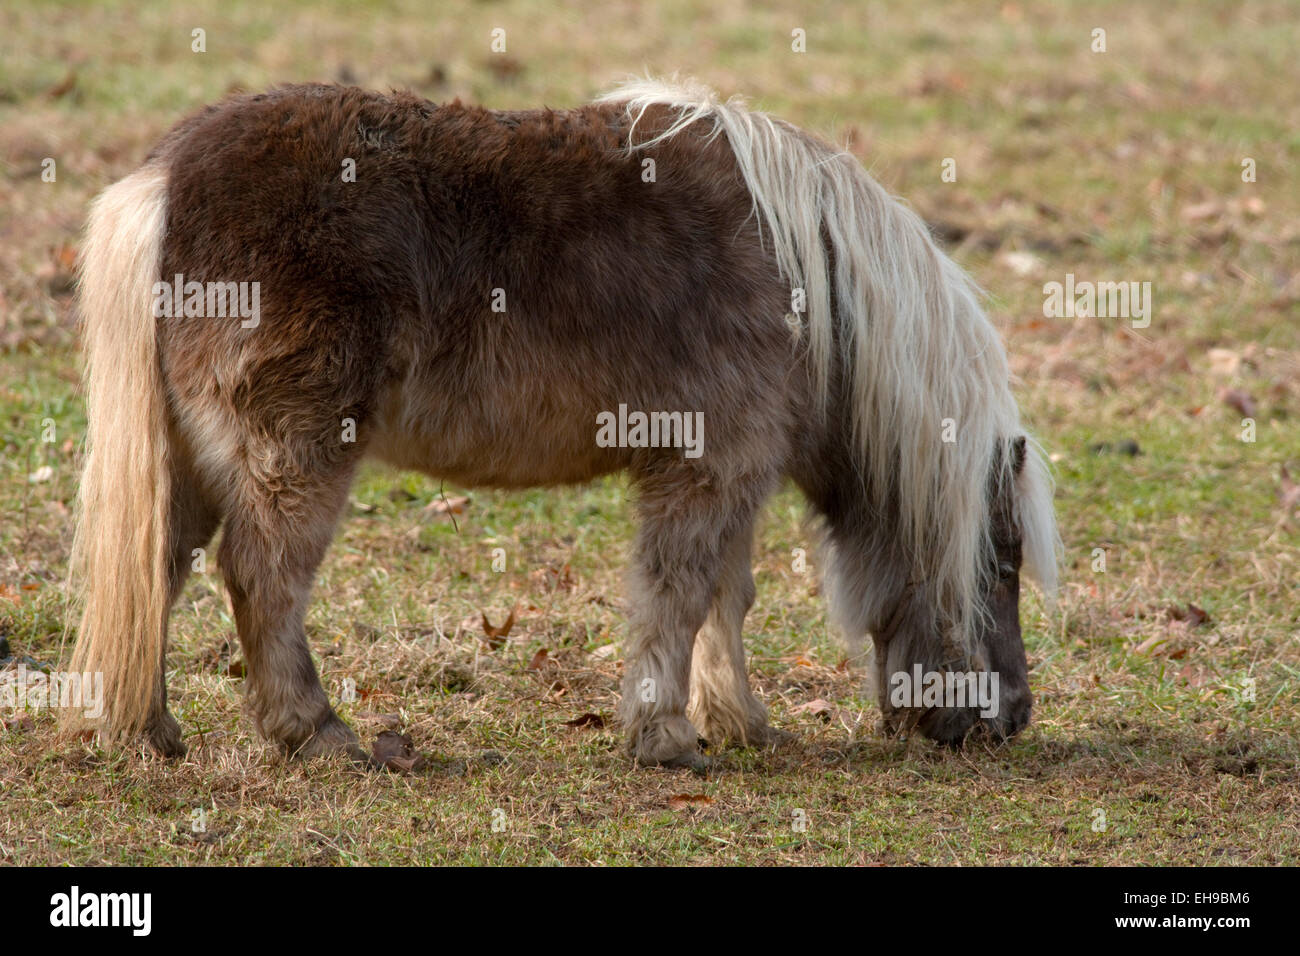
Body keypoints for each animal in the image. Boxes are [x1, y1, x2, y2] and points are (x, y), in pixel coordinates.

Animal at [67, 77, 1059, 768]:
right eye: (999, 564)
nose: (1010, 718)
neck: (805, 281)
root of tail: (165, 180)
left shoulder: (733, 472)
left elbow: (725, 598)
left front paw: (739, 725)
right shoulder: (707, 468)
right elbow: (678, 592)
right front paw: (665, 738)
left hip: (191, 463)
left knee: (158, 568)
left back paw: (148, 732)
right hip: (293, 454)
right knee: (261, 576)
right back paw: (317, 736)